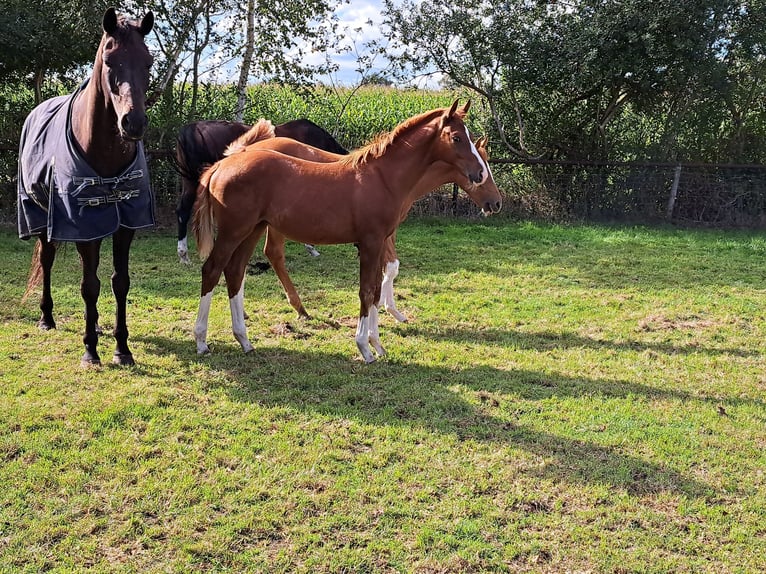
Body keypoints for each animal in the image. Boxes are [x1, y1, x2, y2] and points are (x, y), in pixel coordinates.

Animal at [18, 7, 155, 368]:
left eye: (148, 61)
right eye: (109, 60)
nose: (134, 124)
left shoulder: (125, 225)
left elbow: (120, 282)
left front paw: (122, 349)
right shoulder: (84, 228)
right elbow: (89, 286)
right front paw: (90, 350)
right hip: (41, 220)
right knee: (48, 261)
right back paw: (47, 318)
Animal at [219, 123, 500, 322]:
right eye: (483, 169)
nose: (496, 203)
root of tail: (244, 151)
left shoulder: (383, 232)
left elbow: (389, 267)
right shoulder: (380, 233)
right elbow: (391, 267)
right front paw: (390, 311)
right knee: (272, 253)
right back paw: (298, 307)